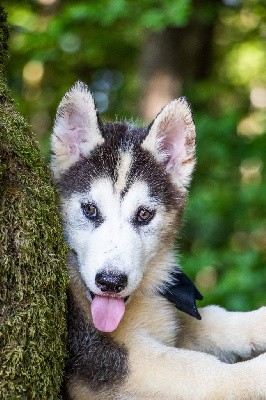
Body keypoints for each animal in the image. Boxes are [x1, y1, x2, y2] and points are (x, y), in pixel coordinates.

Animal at [51, 82, 266, 400]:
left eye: (144, 214)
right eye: (90, 209)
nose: (111, 282)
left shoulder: (170, 317)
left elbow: (213, 319)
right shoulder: (98, 356)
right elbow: (199, 370)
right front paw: (257, 373)